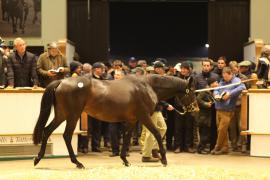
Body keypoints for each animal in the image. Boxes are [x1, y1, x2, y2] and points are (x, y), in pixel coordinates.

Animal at [33, 74, 198, 169]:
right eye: (193, 91)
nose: (195, 109)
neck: (147, 86)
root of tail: (62, 81)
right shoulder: (144, 117)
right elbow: (157, 134)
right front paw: (164, 160)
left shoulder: (132, 120)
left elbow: (126, 138)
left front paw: (125, 160)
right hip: (72, 115)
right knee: (66, 135)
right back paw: (78, 163)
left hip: (62, 115)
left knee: (47, 130)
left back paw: (37, 159)